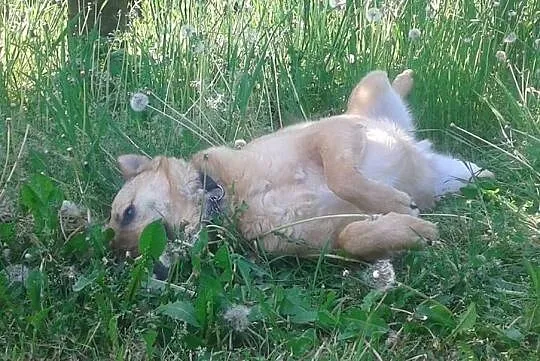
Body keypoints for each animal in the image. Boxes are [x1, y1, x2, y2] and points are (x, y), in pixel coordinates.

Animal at [106, 69, 494, 258]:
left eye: (127, 213)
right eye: (129, 255)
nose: (124, 254)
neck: (230, 198)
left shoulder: (331, 133)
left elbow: (343, 178)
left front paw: (393, 203)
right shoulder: (330, 237)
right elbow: (354, 237)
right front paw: (409, 230)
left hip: (367, 91)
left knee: (388, 81)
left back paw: (406, 77)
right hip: (458, 175)